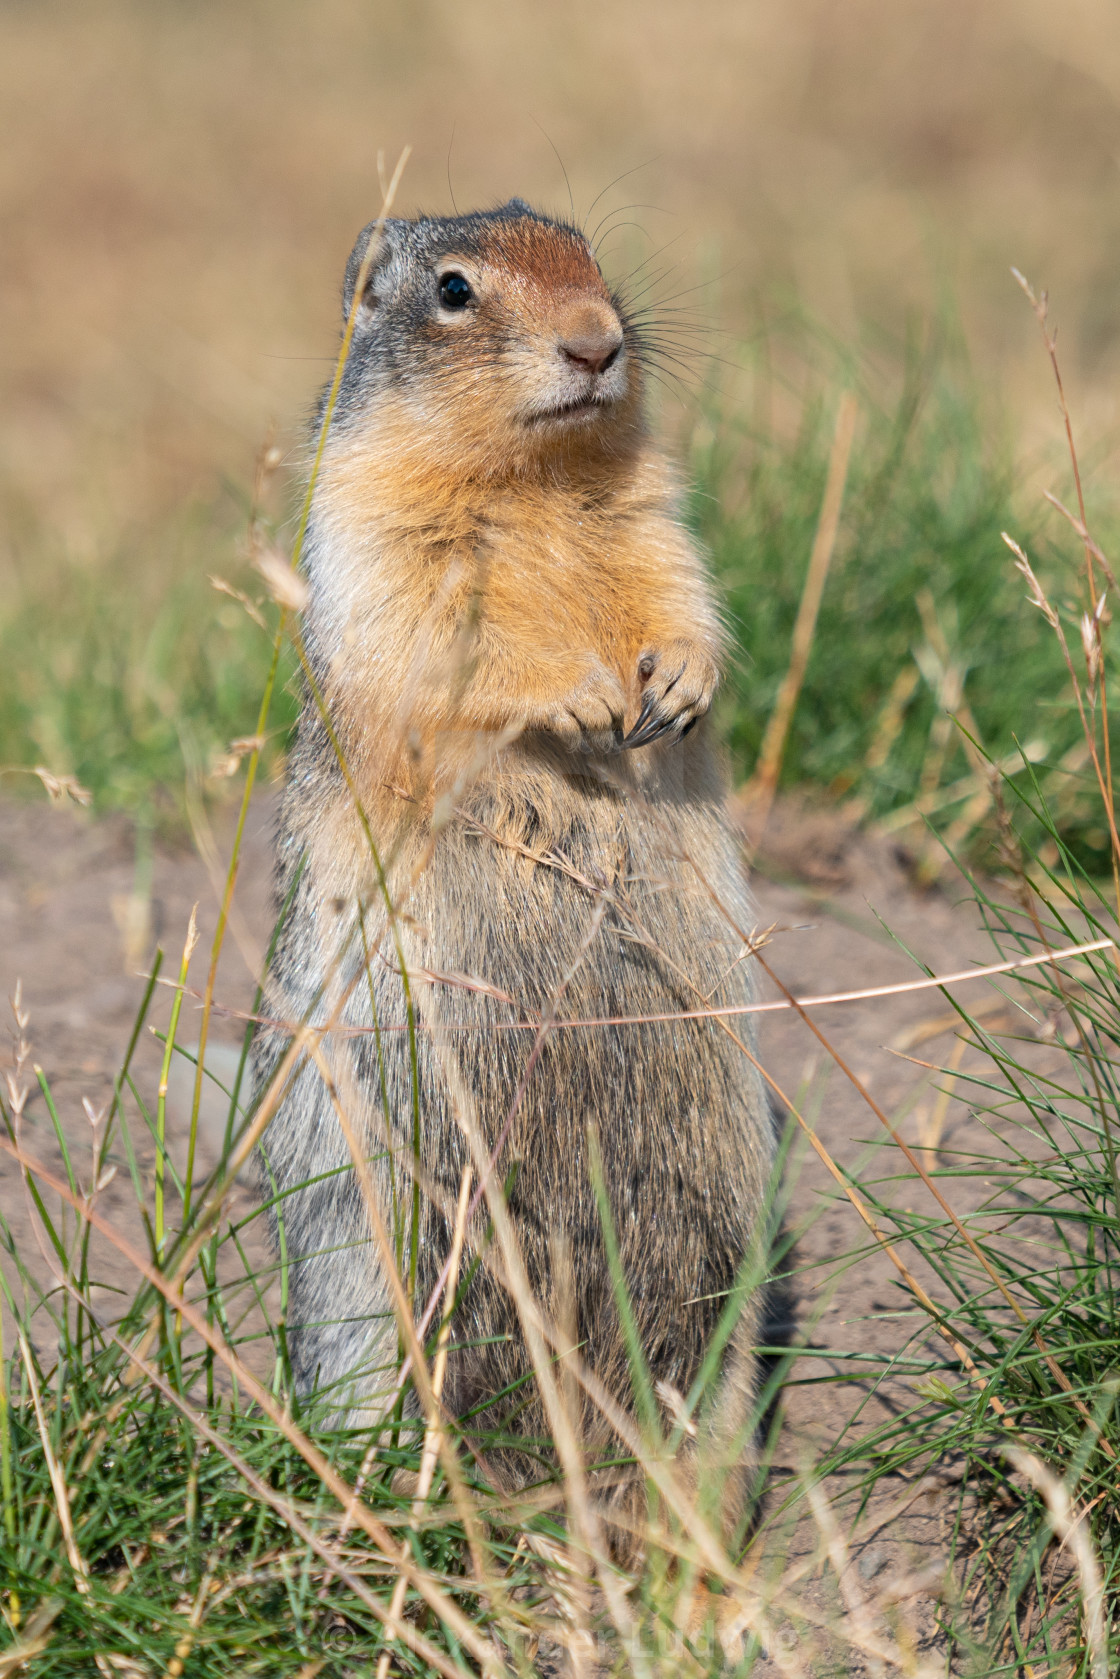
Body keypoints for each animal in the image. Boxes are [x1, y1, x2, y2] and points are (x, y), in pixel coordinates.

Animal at [251, 196, 779, 1544]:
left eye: (590, 255)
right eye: (452, 289)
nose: (597, 341)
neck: (534, 478)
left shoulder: (657, 522)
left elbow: (681, 595)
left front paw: (674, 684)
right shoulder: (369, 534)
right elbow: (436, 649)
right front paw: (582, 698)